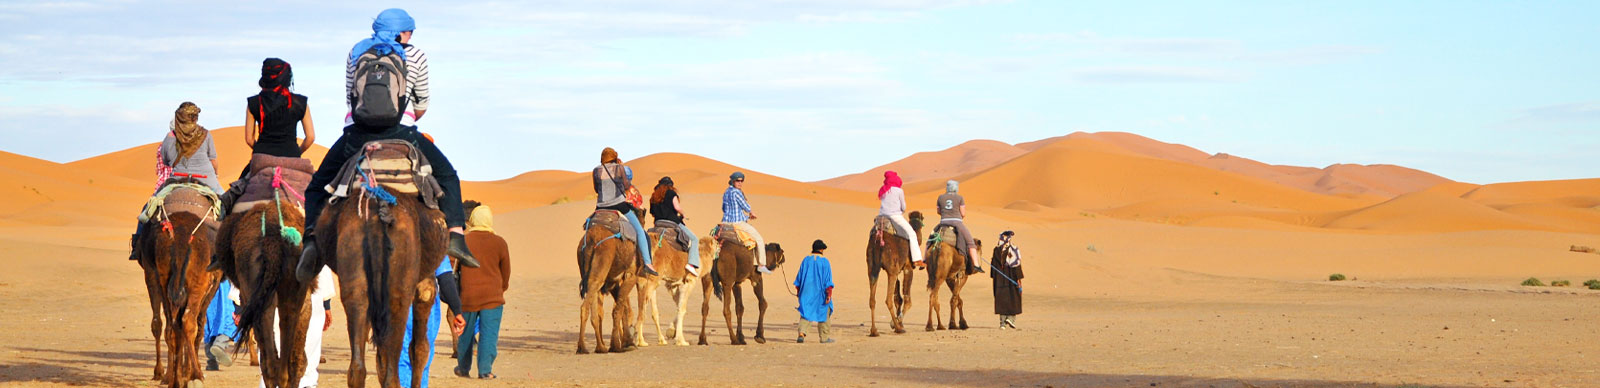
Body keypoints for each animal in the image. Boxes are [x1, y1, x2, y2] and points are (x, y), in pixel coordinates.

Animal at [134, 179, 222, 388]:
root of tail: (181, 236)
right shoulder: (211, 284)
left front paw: (178, 374)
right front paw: (187, 374)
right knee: (187, 322)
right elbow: (200, 325)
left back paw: (171, 378)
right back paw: (195, 376)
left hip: (161, 276)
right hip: (197, 281)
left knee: (168, 325)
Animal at [576, 208, 636, 354]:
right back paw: (583, 347)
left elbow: (621, 308)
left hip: (588, 270)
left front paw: (622, 343)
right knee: (586, 306)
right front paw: (621, 344)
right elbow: (620, 309)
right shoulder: (630, 276)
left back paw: (599, 347)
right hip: (601, 269)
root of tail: (592, 238)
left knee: (593, 309)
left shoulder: (614, 282)